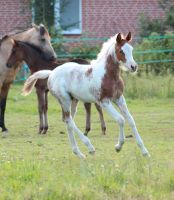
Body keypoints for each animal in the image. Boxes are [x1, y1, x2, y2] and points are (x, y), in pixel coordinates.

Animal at [21, 32, 150, 158]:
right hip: (65, 100)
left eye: (131, 49)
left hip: (73, 100)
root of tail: (51, 73)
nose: (133, 67)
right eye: (121, 51)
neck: (108, 75)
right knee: (69, 121)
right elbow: (121, 119)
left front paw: (145, 152)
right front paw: (118, 146)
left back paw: (78, 153)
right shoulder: (104, 101)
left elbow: (131, 120)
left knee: (68, 122)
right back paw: (89, 147)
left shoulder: (119, 99)